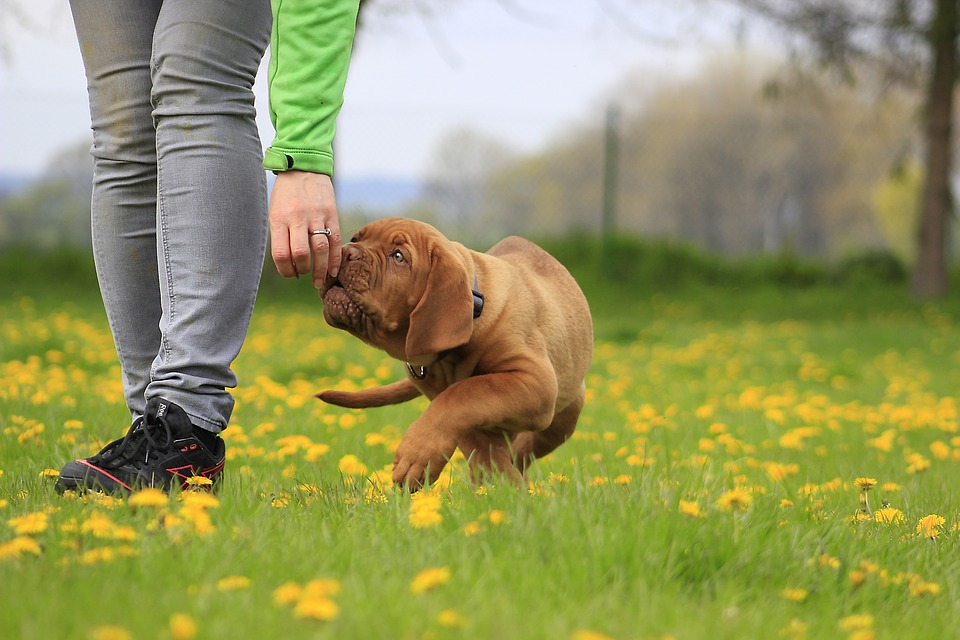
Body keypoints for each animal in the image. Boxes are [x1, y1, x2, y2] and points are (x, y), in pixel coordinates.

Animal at [318, 218, 592, 488]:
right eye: (355, 239)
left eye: (398, 256)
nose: (345, 252)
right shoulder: (440, 394)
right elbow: (470, 430)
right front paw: (501, 484)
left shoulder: (536, 381)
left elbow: (463, 393)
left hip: (562, 418)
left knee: (525, 448)